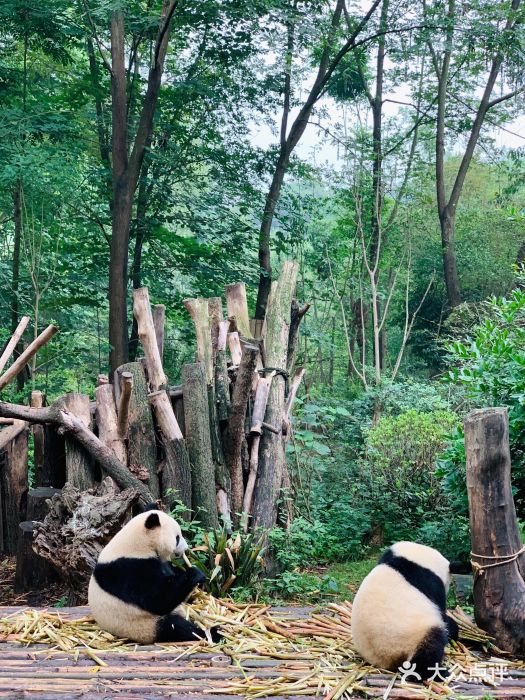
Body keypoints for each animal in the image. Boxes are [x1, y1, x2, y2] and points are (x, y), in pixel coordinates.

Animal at [88, 504, 219, 644]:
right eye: (177, 538)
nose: (186, 548)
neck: (136, 544)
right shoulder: (127, 570)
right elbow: (157, 600)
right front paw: (195, 573)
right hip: (144, 626)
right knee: (175, 627)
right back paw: (212, 632)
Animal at [350, 540, 456, 680]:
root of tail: (385, 659)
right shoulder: (430, 583)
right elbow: (442, 613)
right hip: (410, 635)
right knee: (431, 645)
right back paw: (437, 672)